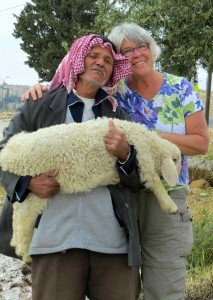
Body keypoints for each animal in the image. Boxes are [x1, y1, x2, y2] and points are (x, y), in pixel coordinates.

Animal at [0, 118, 181, 262]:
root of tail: (10, 151)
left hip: (32, 193)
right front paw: (171, 207)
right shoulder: (143, 158)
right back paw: (25, 253)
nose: (179, 175)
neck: (150, 144)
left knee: (19, 215)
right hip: (38, 187)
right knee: (23, 220)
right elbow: (154, 181)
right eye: (176, 160)